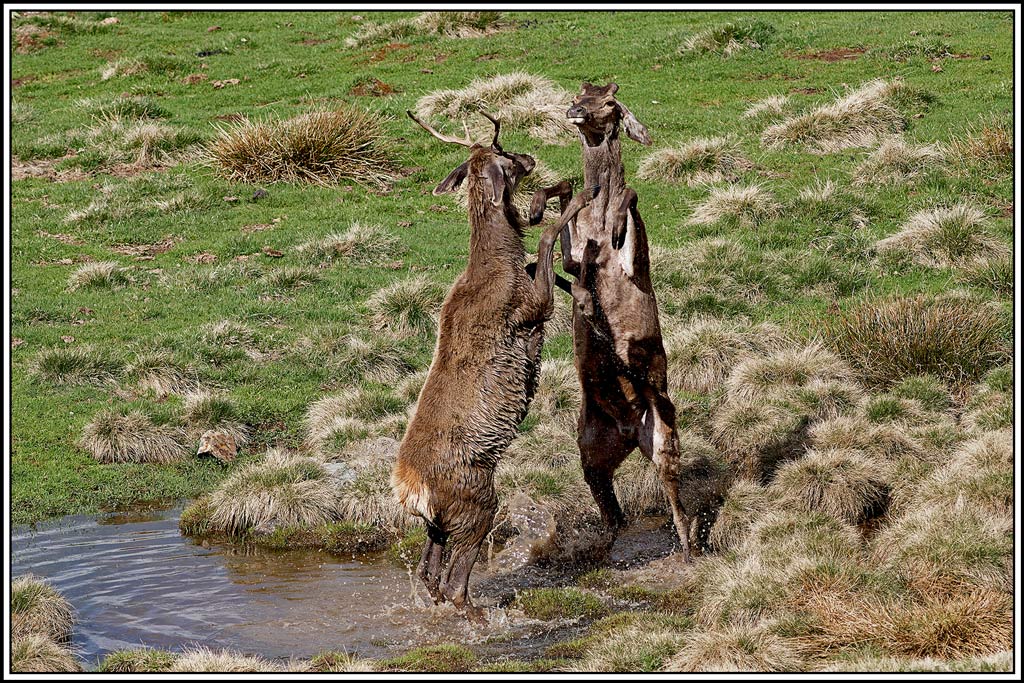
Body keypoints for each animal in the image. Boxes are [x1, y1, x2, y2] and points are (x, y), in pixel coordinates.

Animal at [392, 110, 596, 618]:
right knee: (455, 584)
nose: (531, 157)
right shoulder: (530, 310)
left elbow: (545, 259)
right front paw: (578, 195)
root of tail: (411, 491)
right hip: (476, 502)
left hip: (439, 522)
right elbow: (544, 242)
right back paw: (485, 616)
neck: (495, 264)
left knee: (430, 575)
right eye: (506, 155)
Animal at [529, 82, 694, 562]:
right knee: (611, 511)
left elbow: (632, 195)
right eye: (580, 90)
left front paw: (618, 222)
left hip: (663, 431)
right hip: (590, 450)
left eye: (609, 103)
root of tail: (627, 431)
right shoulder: (572, 249)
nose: (574, 110)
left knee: (676, 496)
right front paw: (536, 206)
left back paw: (691, 547)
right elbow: (566, 207)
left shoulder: (636, 265)